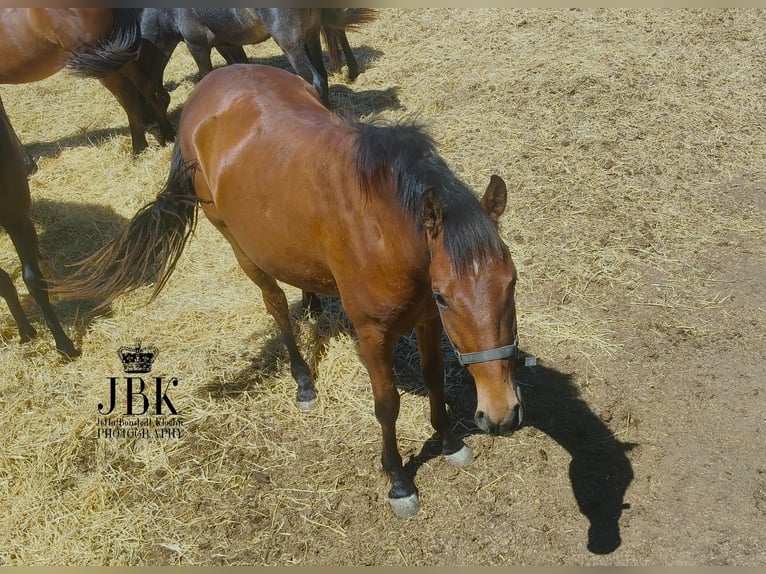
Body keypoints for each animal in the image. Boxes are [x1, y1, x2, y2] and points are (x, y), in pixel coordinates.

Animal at [0, 8, 174, 162]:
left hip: (104, 62)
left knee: (129, 97)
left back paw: (141, 147)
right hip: (116, 57)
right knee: (146, 88)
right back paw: (165, 137)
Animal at [53, 64, 522, 517]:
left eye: (511, 282)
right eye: (445, 295)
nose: (501, 414)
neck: (383, 228)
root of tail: (206, 89)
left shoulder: (425, 319)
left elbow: (435, 377)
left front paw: (449, 442)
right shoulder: (373, 332)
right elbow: (386, 404)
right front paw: (398, 480)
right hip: (239, 245)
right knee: (275, 304)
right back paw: (303, 382)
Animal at [137, 8, 376, 106]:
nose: (158, 95)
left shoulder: (197, 45)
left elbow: (206, 75)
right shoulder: (228, 44)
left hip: (291, 44)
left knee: (315, 80)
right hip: (311, 35)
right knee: (323, 76)